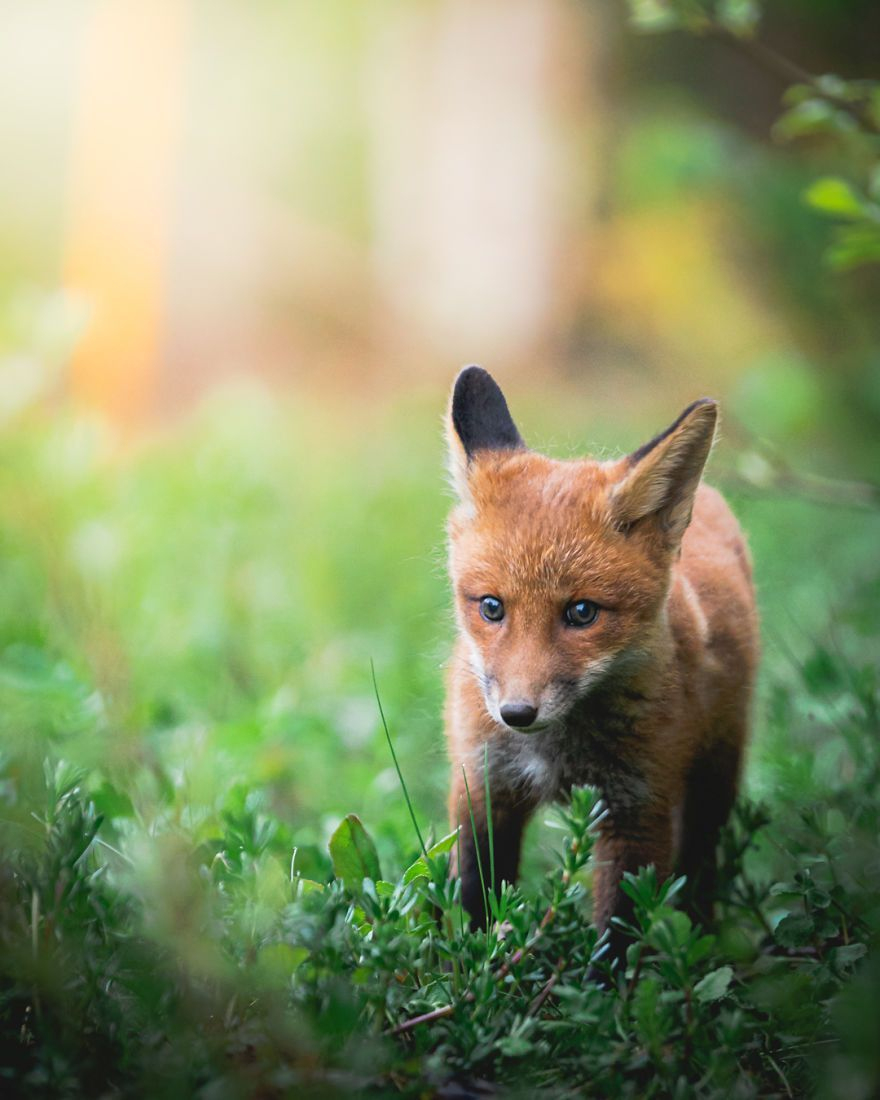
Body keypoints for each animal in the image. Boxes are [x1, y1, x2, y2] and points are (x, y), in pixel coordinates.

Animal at [444, 365, 761, 968]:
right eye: (491, 607)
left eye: (582, 612)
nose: (516, 713)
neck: (558, 753)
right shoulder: (484, 785)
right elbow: (475, 897)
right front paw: (472, 971)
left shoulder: (638, 807)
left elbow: (617, 935)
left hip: (716, 772)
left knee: (699, 866)